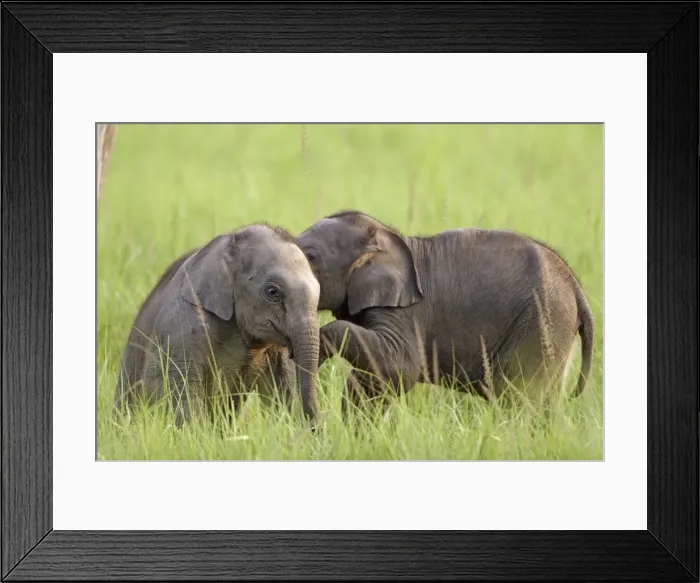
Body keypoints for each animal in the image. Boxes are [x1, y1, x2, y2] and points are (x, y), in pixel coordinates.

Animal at [296, 210, 594, 415]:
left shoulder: (405, 312)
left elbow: (402, 367)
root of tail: (576, 287)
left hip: (542, 321)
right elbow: (374, 380)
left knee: (513, 395)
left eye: (310, 256)